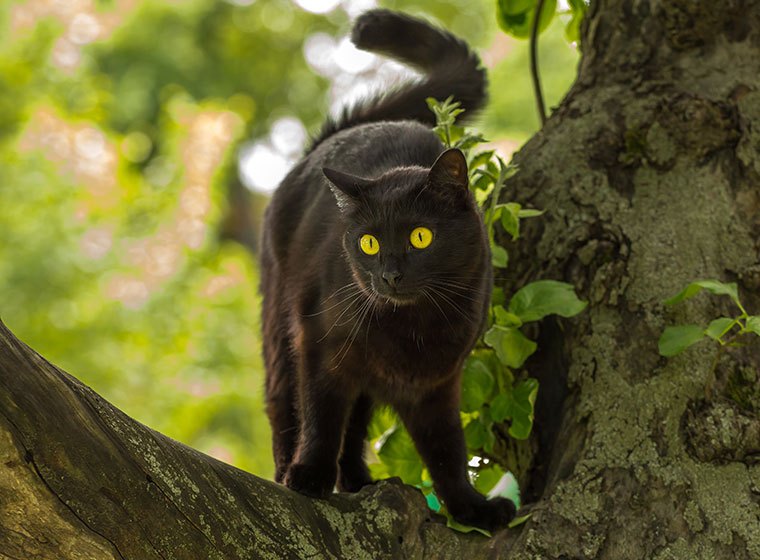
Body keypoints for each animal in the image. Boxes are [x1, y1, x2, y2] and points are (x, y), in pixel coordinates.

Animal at [260, 9, 516, 532]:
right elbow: (320, 415)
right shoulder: (321, 347)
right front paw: (309, 475)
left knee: (356, 425)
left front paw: (471, 509)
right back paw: (288, 470)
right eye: (369, 243)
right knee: (285, 404)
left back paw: (359, 481)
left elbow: (446, 449)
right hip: (280, 328)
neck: (411, 325)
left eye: (420, 237)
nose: (389, 276)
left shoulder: (438, 383)